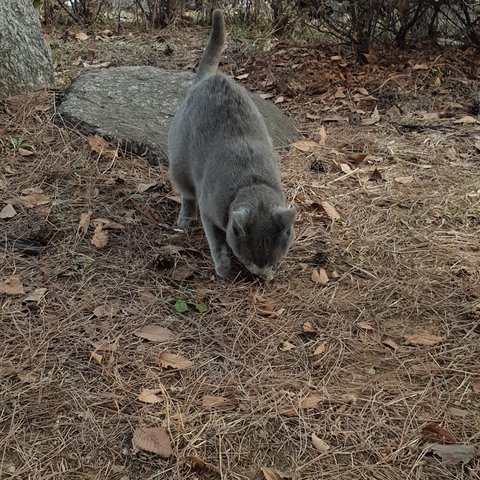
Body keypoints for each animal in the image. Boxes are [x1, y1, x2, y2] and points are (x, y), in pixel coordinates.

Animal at [168, 9, 295, 280]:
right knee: (187, 195)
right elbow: (216, 240)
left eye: (273, 259)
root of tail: (208, 79)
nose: (259, 272)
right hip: (180, 163)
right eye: (248, 258)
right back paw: (185, 219)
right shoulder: (209, 209)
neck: (252, 183)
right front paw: (223, 266)